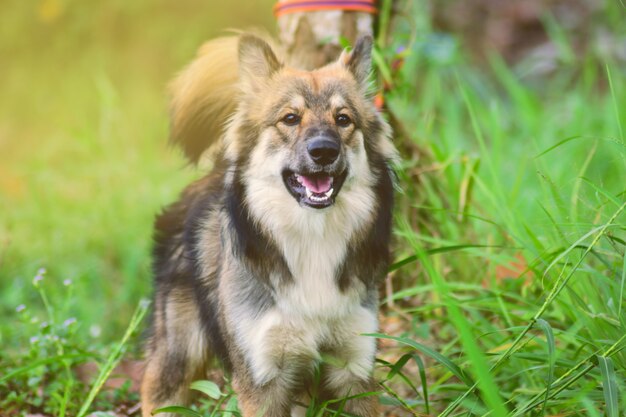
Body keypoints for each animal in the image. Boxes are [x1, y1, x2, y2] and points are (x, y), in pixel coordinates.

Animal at [140, 33, 394, 416]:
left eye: (343, 118)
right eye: (290, 118)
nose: (324, 151)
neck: (312, 236)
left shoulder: (355, 370)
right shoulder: (262, 380)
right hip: (179, 351)